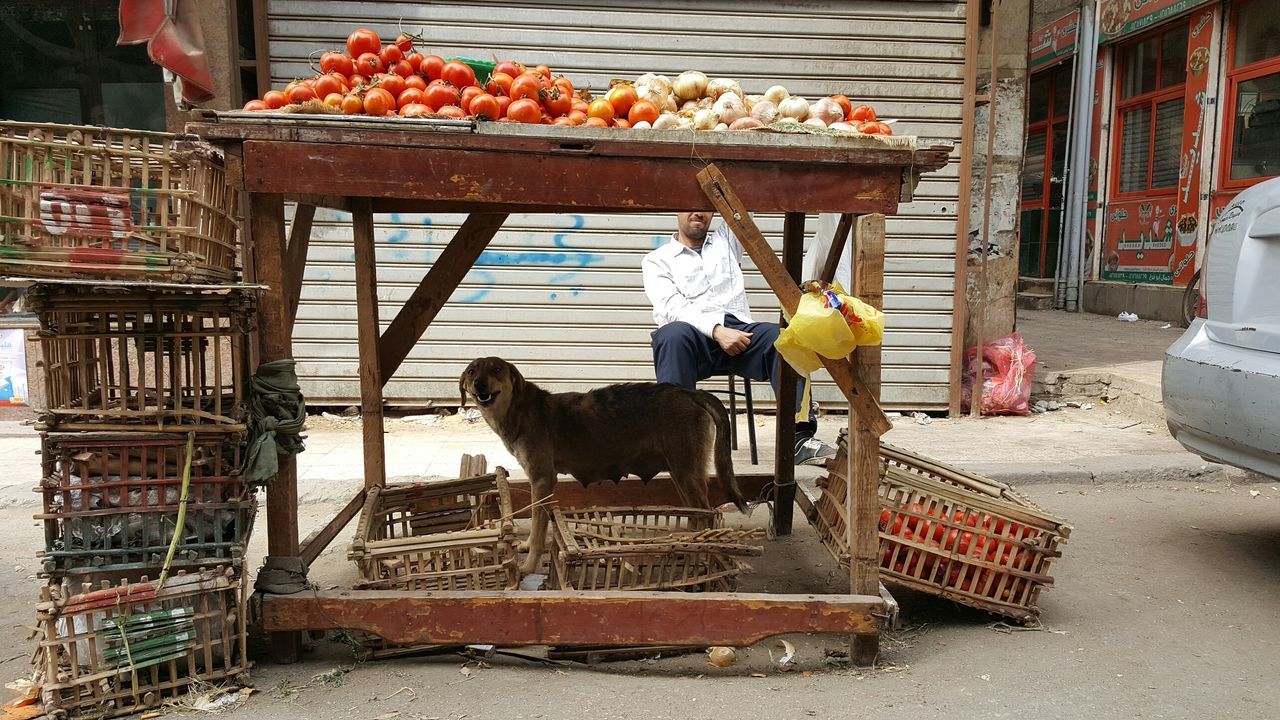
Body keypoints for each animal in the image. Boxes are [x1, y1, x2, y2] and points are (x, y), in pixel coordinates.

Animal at [458, 353, 747, 571]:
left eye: (496, 369)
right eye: (472, 371)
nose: (479, 384)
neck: (519, 408)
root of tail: (689, 393)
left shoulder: (541, 480)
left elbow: (540, 528)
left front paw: (528, 566)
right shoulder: (541, 484)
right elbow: (538, 524)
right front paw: (527, 545)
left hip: (686, 470)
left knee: (706, 515)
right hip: (681, 472)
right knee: (696, 515)